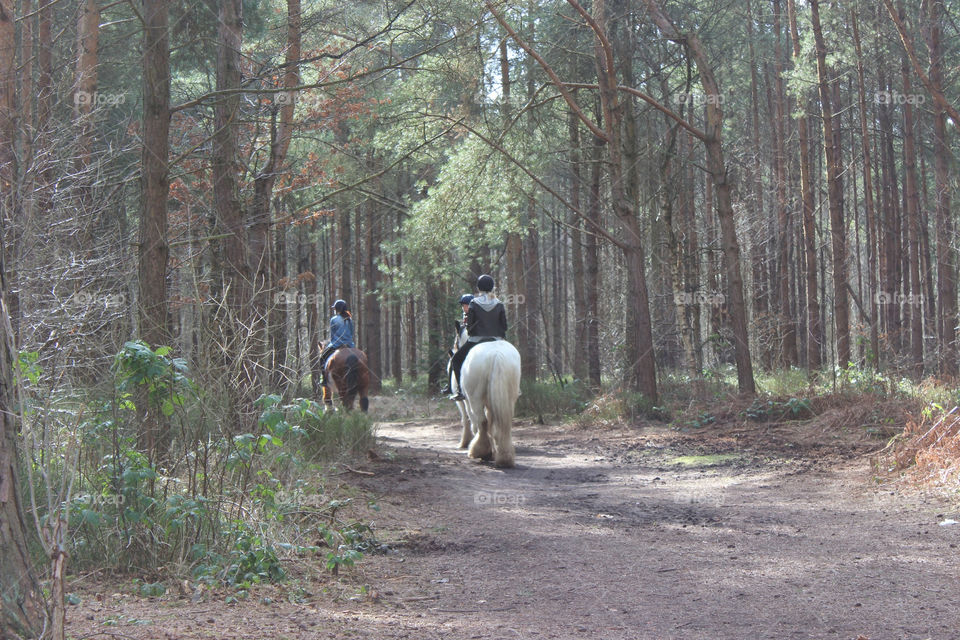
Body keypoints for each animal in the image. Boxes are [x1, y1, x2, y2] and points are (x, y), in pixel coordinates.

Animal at [448, 322, 520, 468]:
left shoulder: (464, 401)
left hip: (474, 398)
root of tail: (496, 354)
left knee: (482, 421)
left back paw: (480, 451)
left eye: (456, 339)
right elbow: (491, 422)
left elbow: (469, 420)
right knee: (504, 423)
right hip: (508, 397)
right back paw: (504, 456)